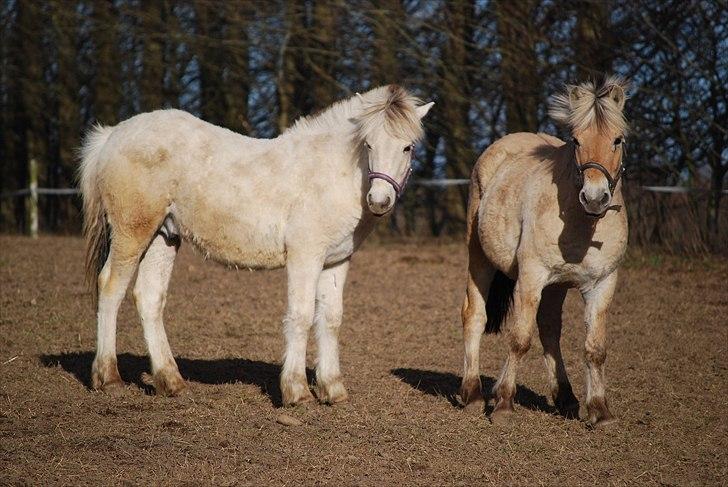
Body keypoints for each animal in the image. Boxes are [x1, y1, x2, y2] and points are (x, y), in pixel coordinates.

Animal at [81, 85, 432, 408]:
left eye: (408, 147)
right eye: (369, 144)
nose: (379, 201)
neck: (331, 172)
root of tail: (112, 135)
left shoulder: (336, 261)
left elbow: (331, 319)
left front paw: (333, 389)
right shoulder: (305, 256)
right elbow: (301, 316)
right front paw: (297, 392)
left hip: (163, 236)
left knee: (149, 297)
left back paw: (171, 382)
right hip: (132, 231)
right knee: (111, 288)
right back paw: (108, 378)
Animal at [464, 76, 628, 428]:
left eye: (617, 140)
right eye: (577, 140)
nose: (595, 198)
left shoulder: (602, 284)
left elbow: (595, 348)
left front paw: (601, 411)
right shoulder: (531, 278)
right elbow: (520, 339)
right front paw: (503, 403)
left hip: (556, 287)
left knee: (550, 328)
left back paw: (566, 398)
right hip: (479, 258)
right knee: (474, 315)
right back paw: (471, 394)